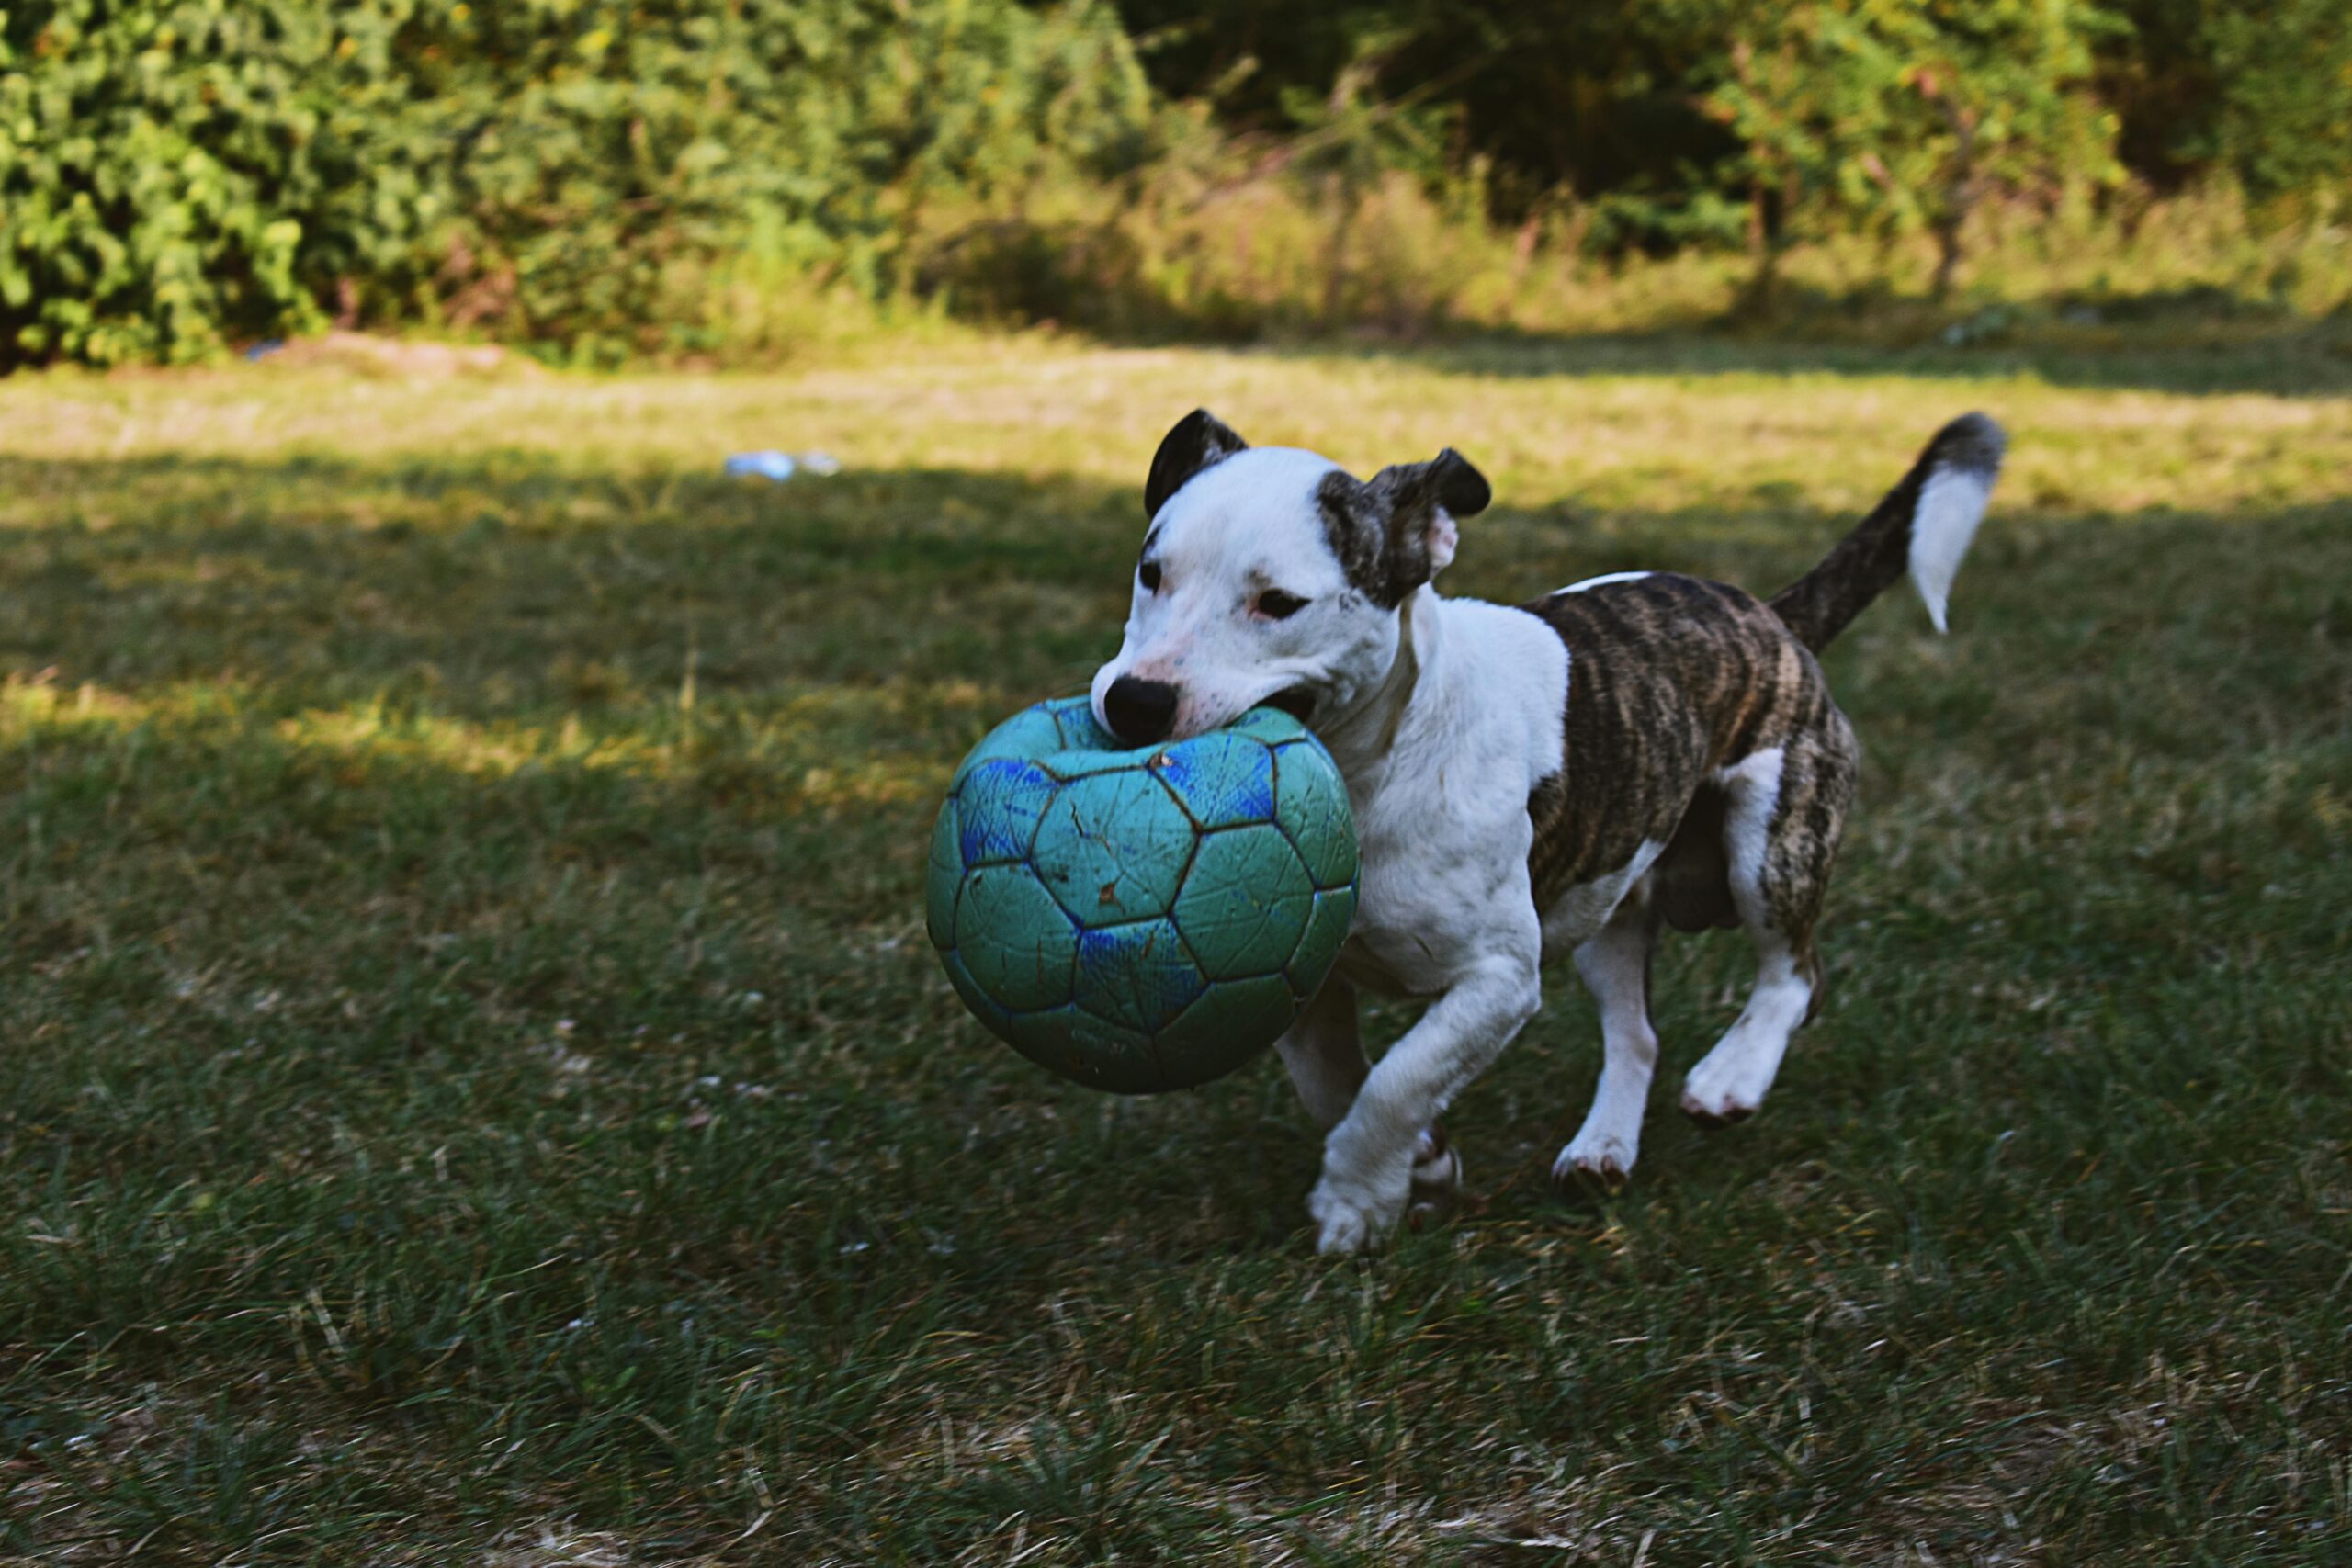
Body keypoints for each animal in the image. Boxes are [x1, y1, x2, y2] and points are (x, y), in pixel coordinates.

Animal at [1086, 404, 2004, 1250]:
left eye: (1280, 603)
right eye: (1150, 571)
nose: (1136, 701)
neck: (1371, 769)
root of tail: (1771, 618)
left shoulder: (1497, 977)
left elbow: (1398, 1078)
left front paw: (1357, 1201)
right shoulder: (1289, 974)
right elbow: (1333, 1081)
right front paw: (1424, 1160)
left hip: (1774, 839)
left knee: (1795, 971)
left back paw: (1731, 1077)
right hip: (1610, 900)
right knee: (1636, 1032)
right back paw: (1603, 1147)